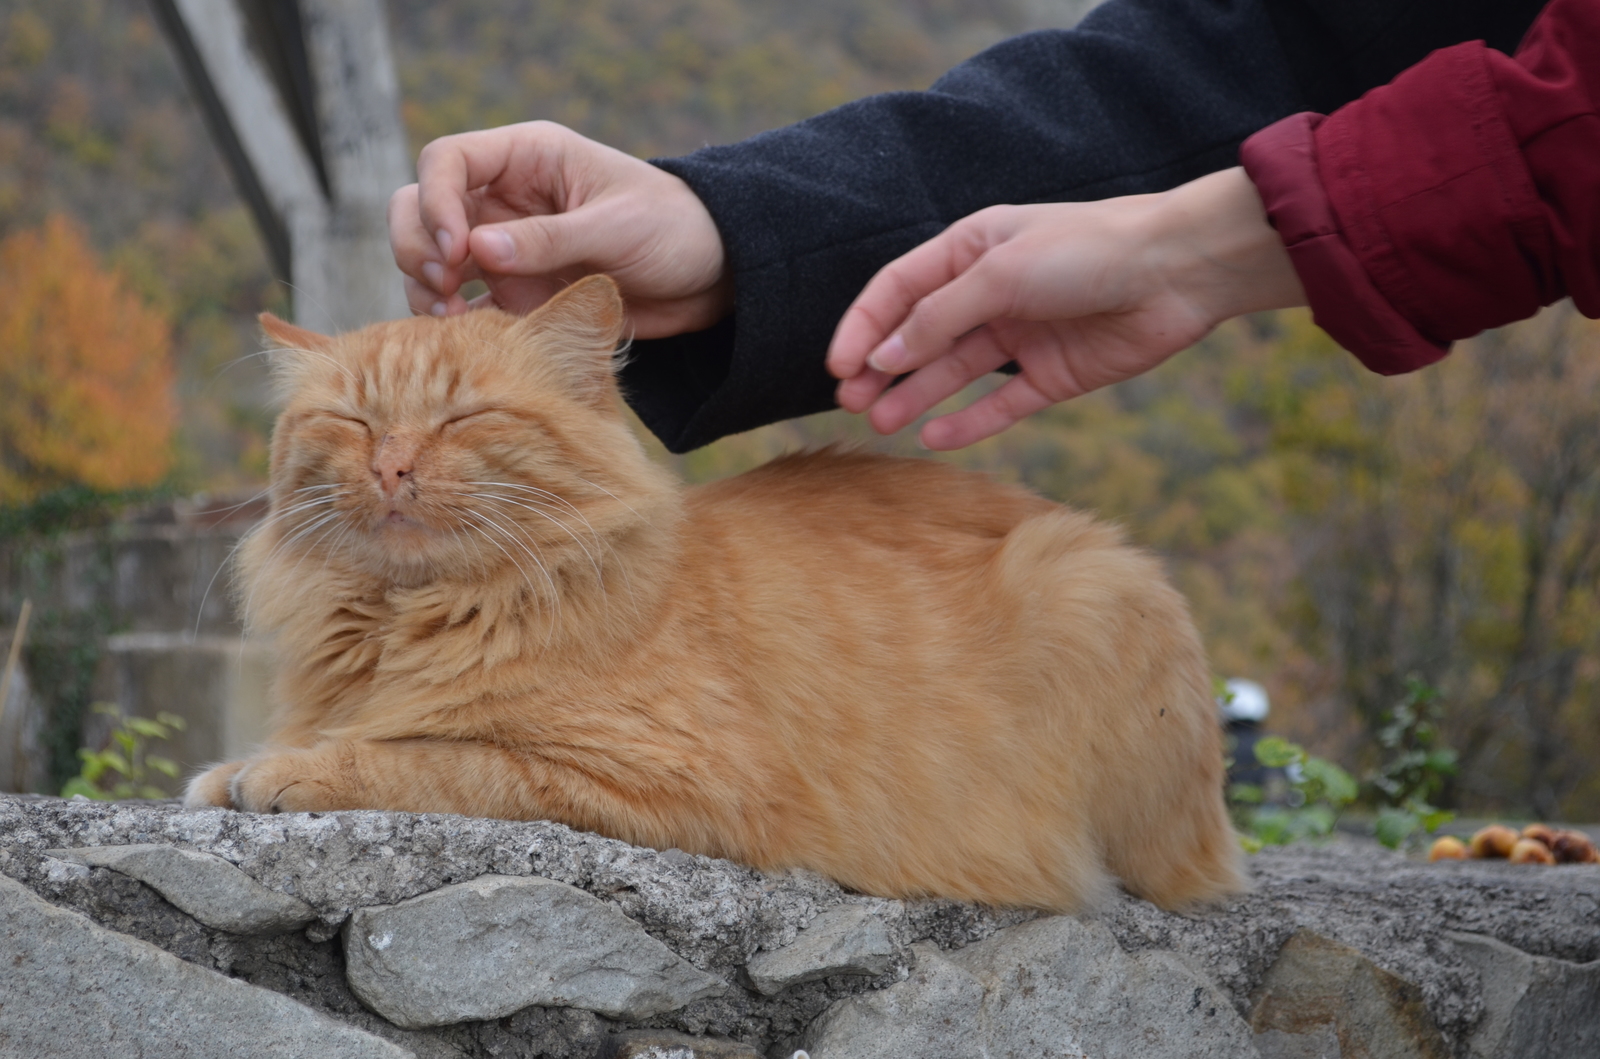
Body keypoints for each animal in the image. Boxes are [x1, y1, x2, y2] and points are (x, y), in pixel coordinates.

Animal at [184, 273, 1235, 915]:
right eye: (353, 420)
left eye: (463, 417)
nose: (392, 466)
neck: (411, 619)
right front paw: (240, 765)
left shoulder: (665, 779)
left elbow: (434, 760)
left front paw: (290, 768)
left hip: (1089, 583)